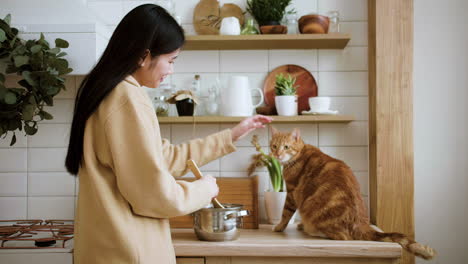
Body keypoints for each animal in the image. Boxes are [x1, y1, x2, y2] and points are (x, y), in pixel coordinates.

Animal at [268, 127, 436, 260]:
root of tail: (361, 224)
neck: (298, 155)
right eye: (274, 146)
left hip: (313, 209)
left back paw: (311, 230)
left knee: (342, 237)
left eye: (286, 147)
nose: (277, 154)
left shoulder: (291, 193)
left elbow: (285, 213)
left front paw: (279, 227)